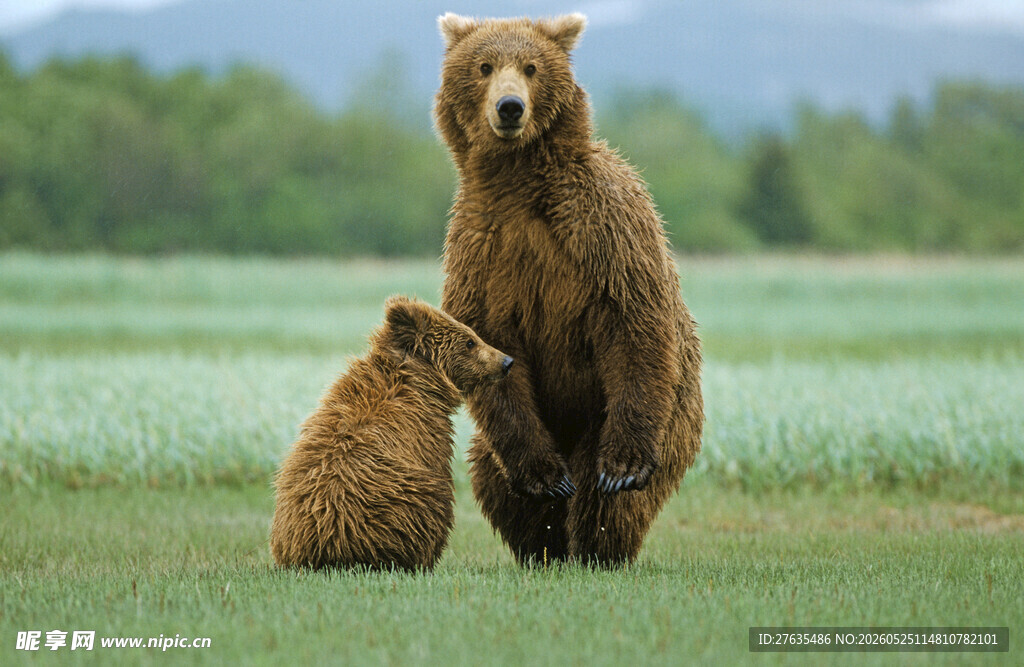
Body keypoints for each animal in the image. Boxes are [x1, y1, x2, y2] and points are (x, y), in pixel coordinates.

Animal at [270, 295, 515, 571]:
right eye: (470, 341)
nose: (506, 361)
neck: (421, 380)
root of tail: (327, 546)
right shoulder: (425, 434)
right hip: (390, 506)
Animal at [434, 13, 704, 566]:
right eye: (484, 66)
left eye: (531, 67)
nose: (509, 107)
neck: (518, 182)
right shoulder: (480, 248)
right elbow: (488, 343)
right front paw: (544, 480)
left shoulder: (603, 226)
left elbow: (632, 320)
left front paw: (622, 468)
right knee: (493, 479)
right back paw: (545, 544)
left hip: (658, 414)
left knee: (607, 496)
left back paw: (598, 545)